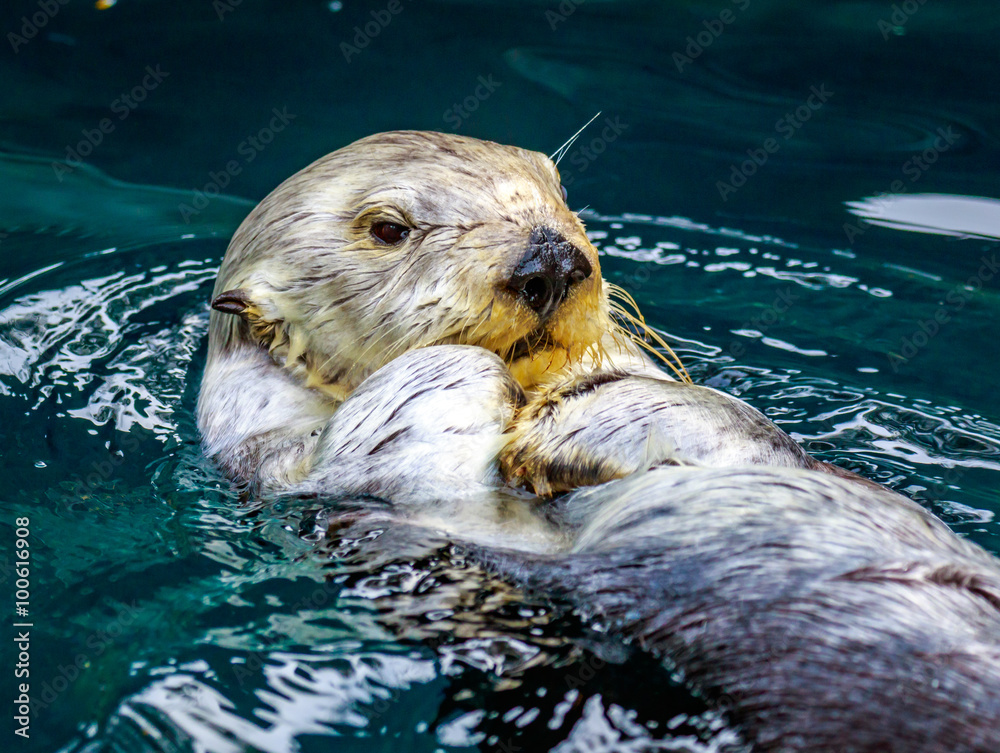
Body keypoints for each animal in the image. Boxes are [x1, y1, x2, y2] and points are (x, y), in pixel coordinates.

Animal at [199, 131, 1000, 752]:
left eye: (556, 187)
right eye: (389, 229)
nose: (550, 259)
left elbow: (725, 421)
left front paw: (569, 420)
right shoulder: (307, 471)